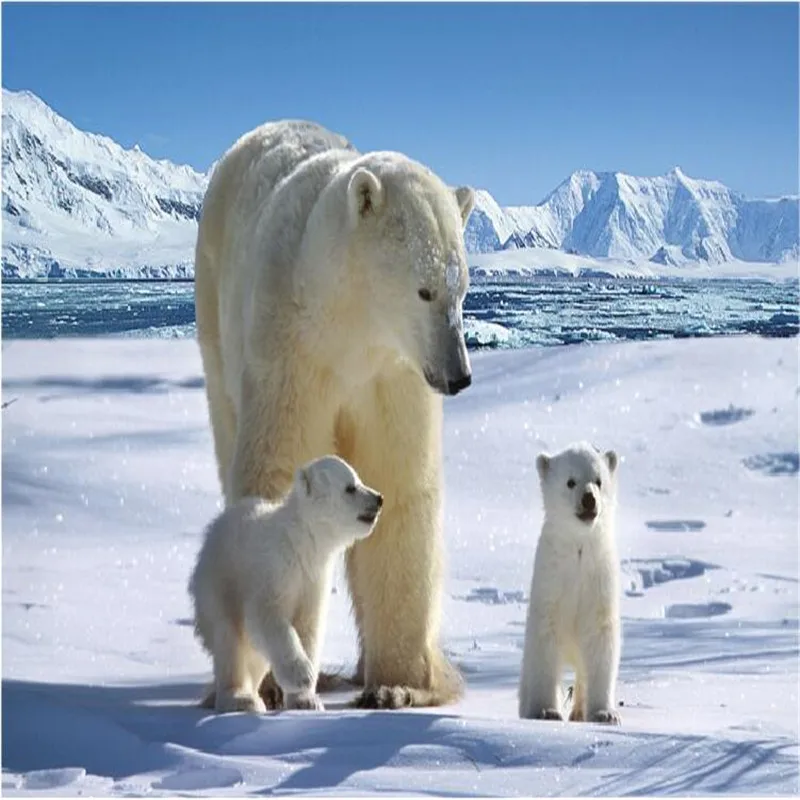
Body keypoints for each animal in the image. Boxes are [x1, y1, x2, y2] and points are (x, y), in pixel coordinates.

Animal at [191, 456, 384, 712]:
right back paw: (241, 699)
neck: (300, 539)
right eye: (350, 487)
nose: (379, 499)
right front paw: (302, 675)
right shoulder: (274, 569)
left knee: (254, 654)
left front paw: (307, 700)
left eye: (359, 479)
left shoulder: (313, 579)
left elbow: (308, 627)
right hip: (219, 584)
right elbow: (268, 618)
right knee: (230, 640)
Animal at [520, 444, 624, 724]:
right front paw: (545, 711)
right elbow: (545, 639)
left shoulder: (598, 578)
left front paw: (605, 713)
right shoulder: (551, 580)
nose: (589, 499)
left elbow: (601, 639)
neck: (578, 548)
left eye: (599, 481)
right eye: (570, 481)